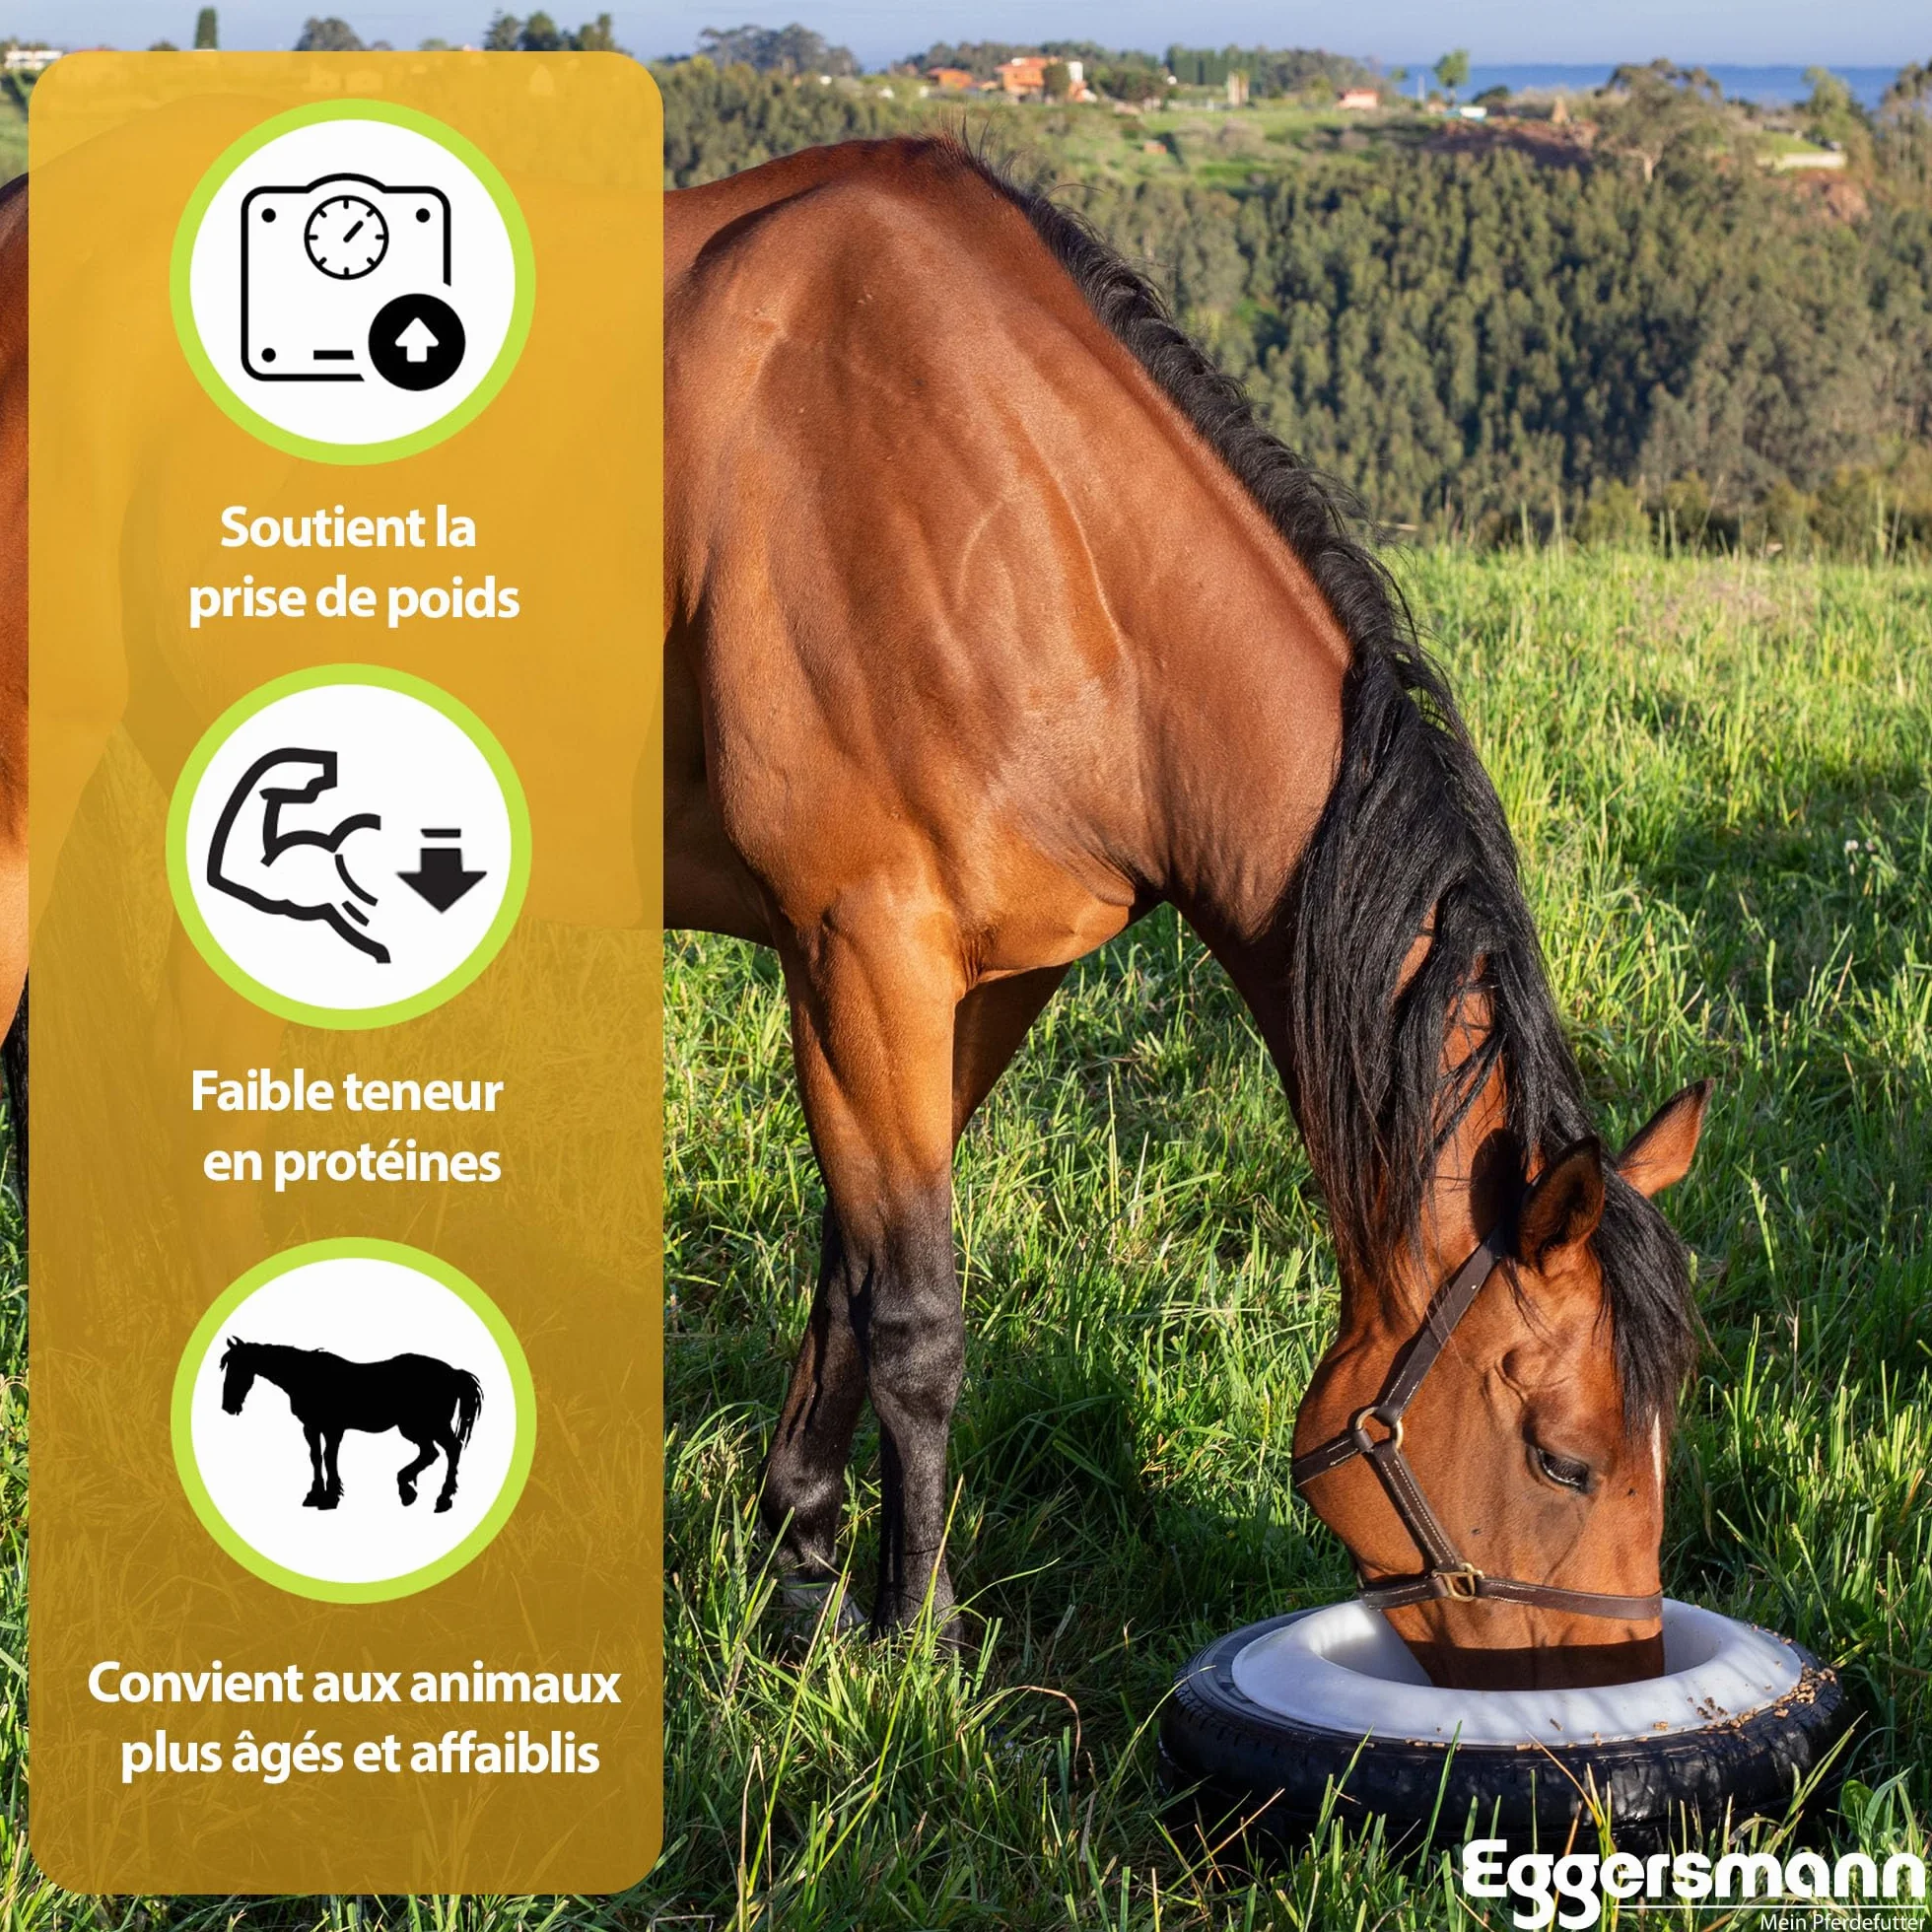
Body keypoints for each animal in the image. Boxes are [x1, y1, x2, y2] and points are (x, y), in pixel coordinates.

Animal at [219, 1337, 482, 1513]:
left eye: (238, 1369)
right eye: (227, 1368)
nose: (228, 1406)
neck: (307, 1376)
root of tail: (454, 1373)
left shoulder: (333, 1428)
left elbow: (329, 1457)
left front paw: (331, 1498)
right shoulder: (311, 1427)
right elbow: (316, 1458)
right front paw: (314, 1495)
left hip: (426, 1425)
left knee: (451, 1449)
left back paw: (442, 1498)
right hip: (415, 1428)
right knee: (432, 1453)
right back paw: (408, 1490)